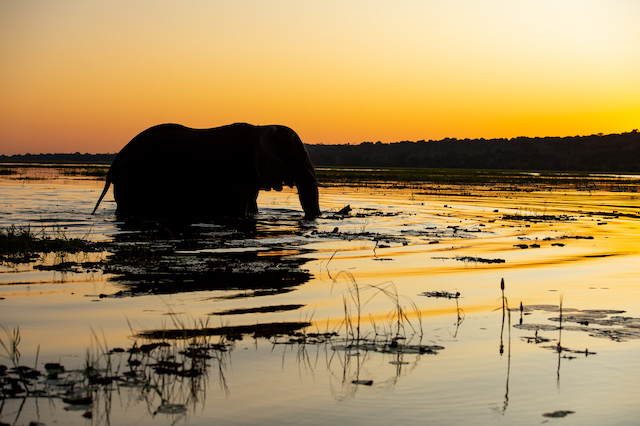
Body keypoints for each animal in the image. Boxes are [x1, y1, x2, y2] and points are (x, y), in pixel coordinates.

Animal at [92, 123, 322, 221]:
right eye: (296, 157)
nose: (314, 217)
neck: (262, 127)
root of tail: (118, 159)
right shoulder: (234, 172)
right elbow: (235, 212)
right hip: (134, 179)